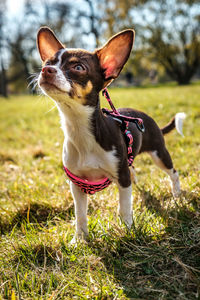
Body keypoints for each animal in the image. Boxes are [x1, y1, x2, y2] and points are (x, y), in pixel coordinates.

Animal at [36, 27, 185, 239]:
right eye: (48, 63)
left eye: (78, 67)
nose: (46, 70)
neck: (80, 129)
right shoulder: (77, 185)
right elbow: (80, 214)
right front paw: (79, 239)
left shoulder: (122, 178)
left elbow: (124, 207)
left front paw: (128, 230)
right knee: (133, 169)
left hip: (159, 154)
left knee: (173, 173)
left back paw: (177, 194)